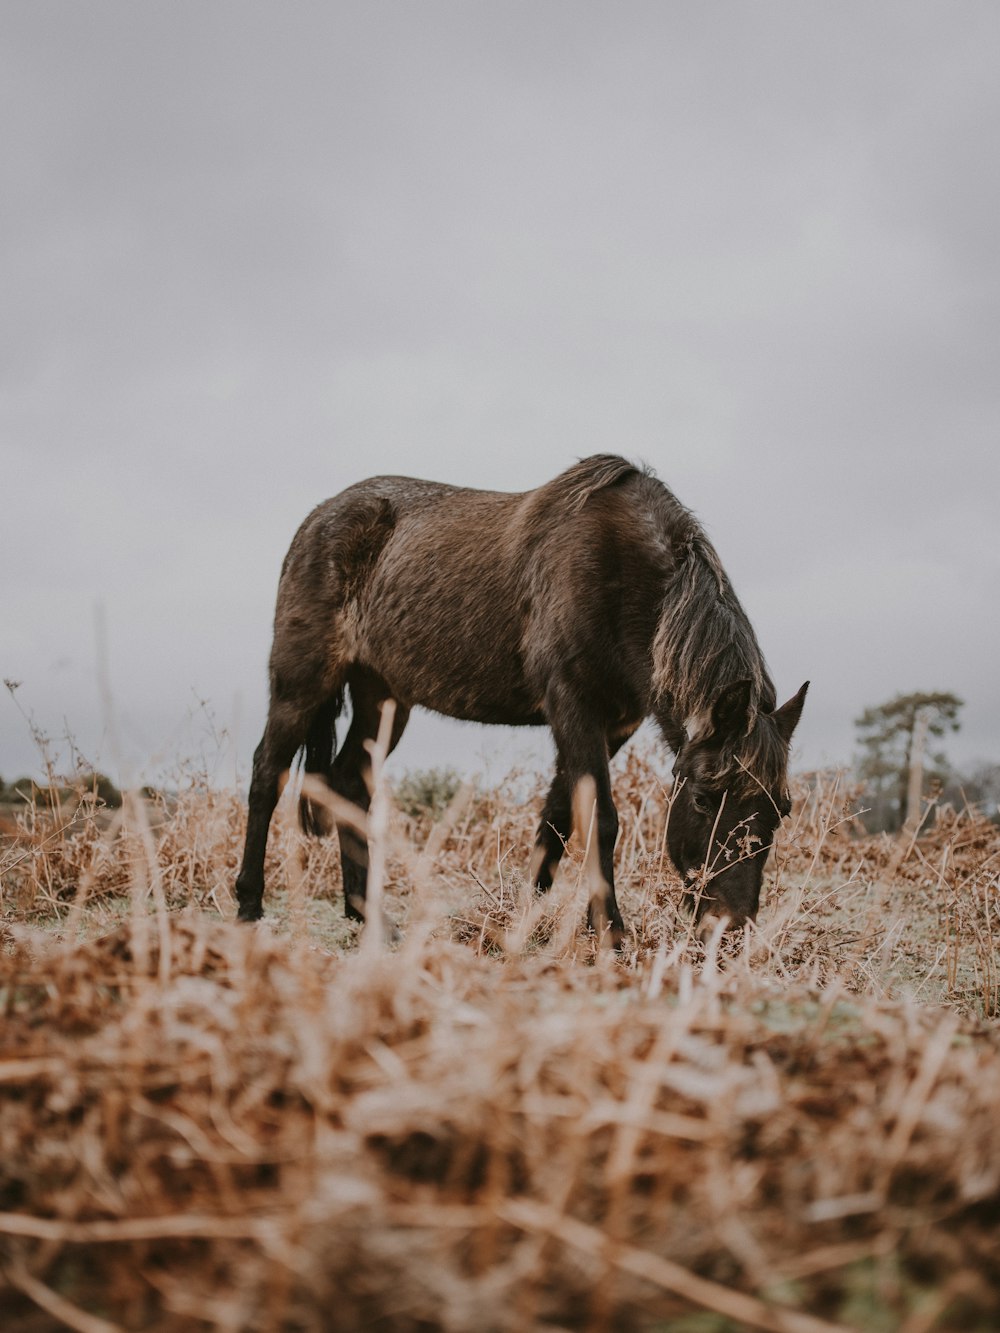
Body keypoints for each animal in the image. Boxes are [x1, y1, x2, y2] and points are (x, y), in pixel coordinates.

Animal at [238, 458, 810, 949]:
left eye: (780, 810)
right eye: (704, 800)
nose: (729, 928)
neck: (619, 569)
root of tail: (318, 518)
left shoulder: (613, 724)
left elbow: (556, 819)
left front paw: (521, 923)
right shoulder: (573, 705)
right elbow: (599, 818)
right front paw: (611, 934)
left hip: (383, 699)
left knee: (349, 784)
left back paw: (370, 916)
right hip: (301, 682)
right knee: (268, 772)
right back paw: (249, 906)